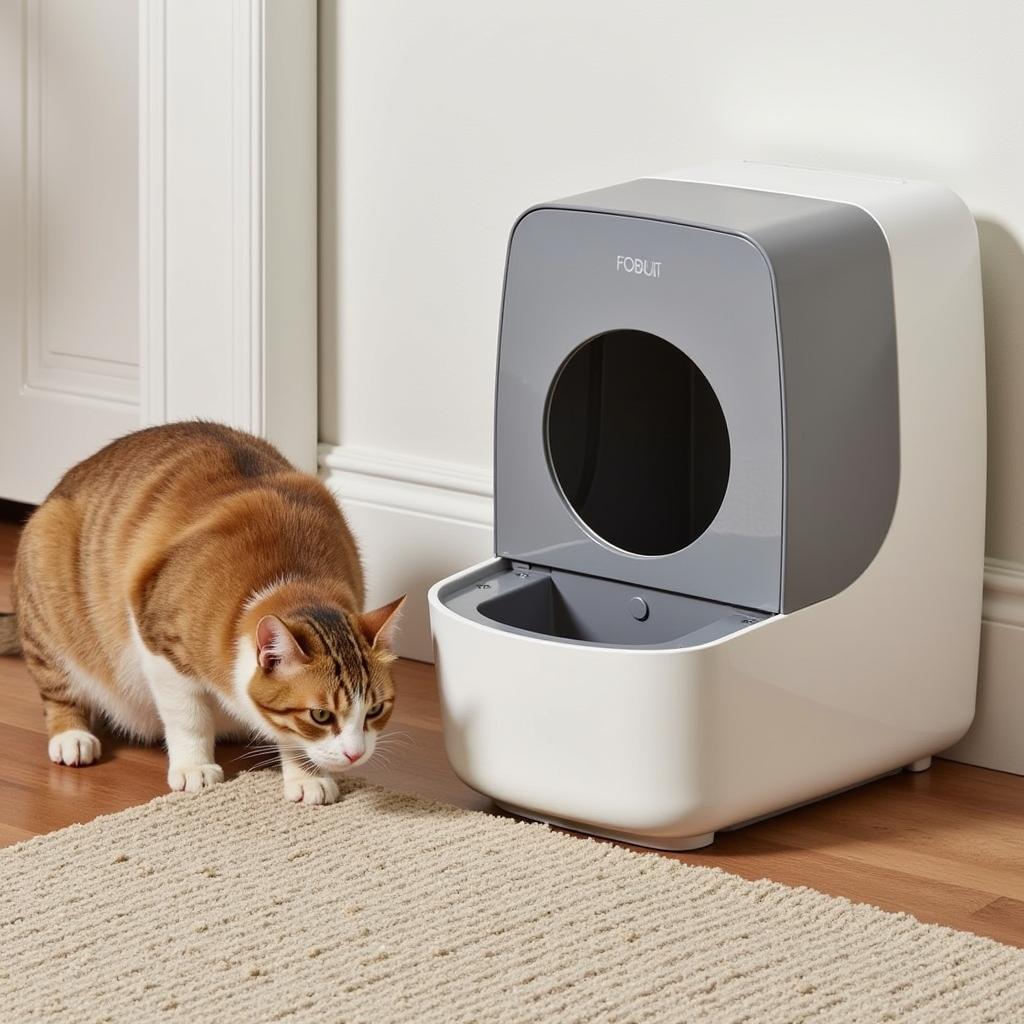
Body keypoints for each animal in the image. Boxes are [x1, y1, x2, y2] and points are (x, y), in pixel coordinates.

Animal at [0, 419, 405, 802]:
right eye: (321, 715)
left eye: (375, 710)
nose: (355, 755)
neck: (296, 580)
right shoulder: (161, 644)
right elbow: (188, 717)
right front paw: (195, 767)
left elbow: (285, 731)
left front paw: (305, 775)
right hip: (46, 564)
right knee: (59, 689)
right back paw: (71, 737)